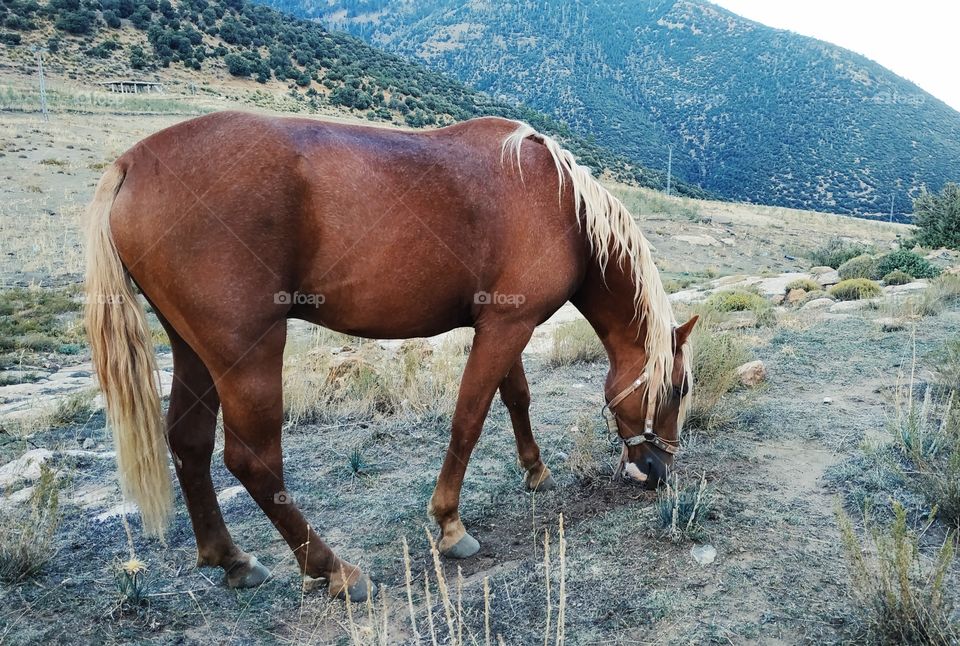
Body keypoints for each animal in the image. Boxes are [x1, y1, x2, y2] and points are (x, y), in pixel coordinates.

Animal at [83, 111, 697, 601]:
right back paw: (333, 569)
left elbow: (516, 397)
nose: (657, 470)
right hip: (248, 353)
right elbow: (469, 419)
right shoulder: (506, 328)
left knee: (189, 443)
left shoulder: (502, 325)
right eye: (677, 388)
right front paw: (450, 525)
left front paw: (536, 471)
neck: (562, 207)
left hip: (192, 350)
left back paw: (230, 560)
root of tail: (132, 163)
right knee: (252, 461)